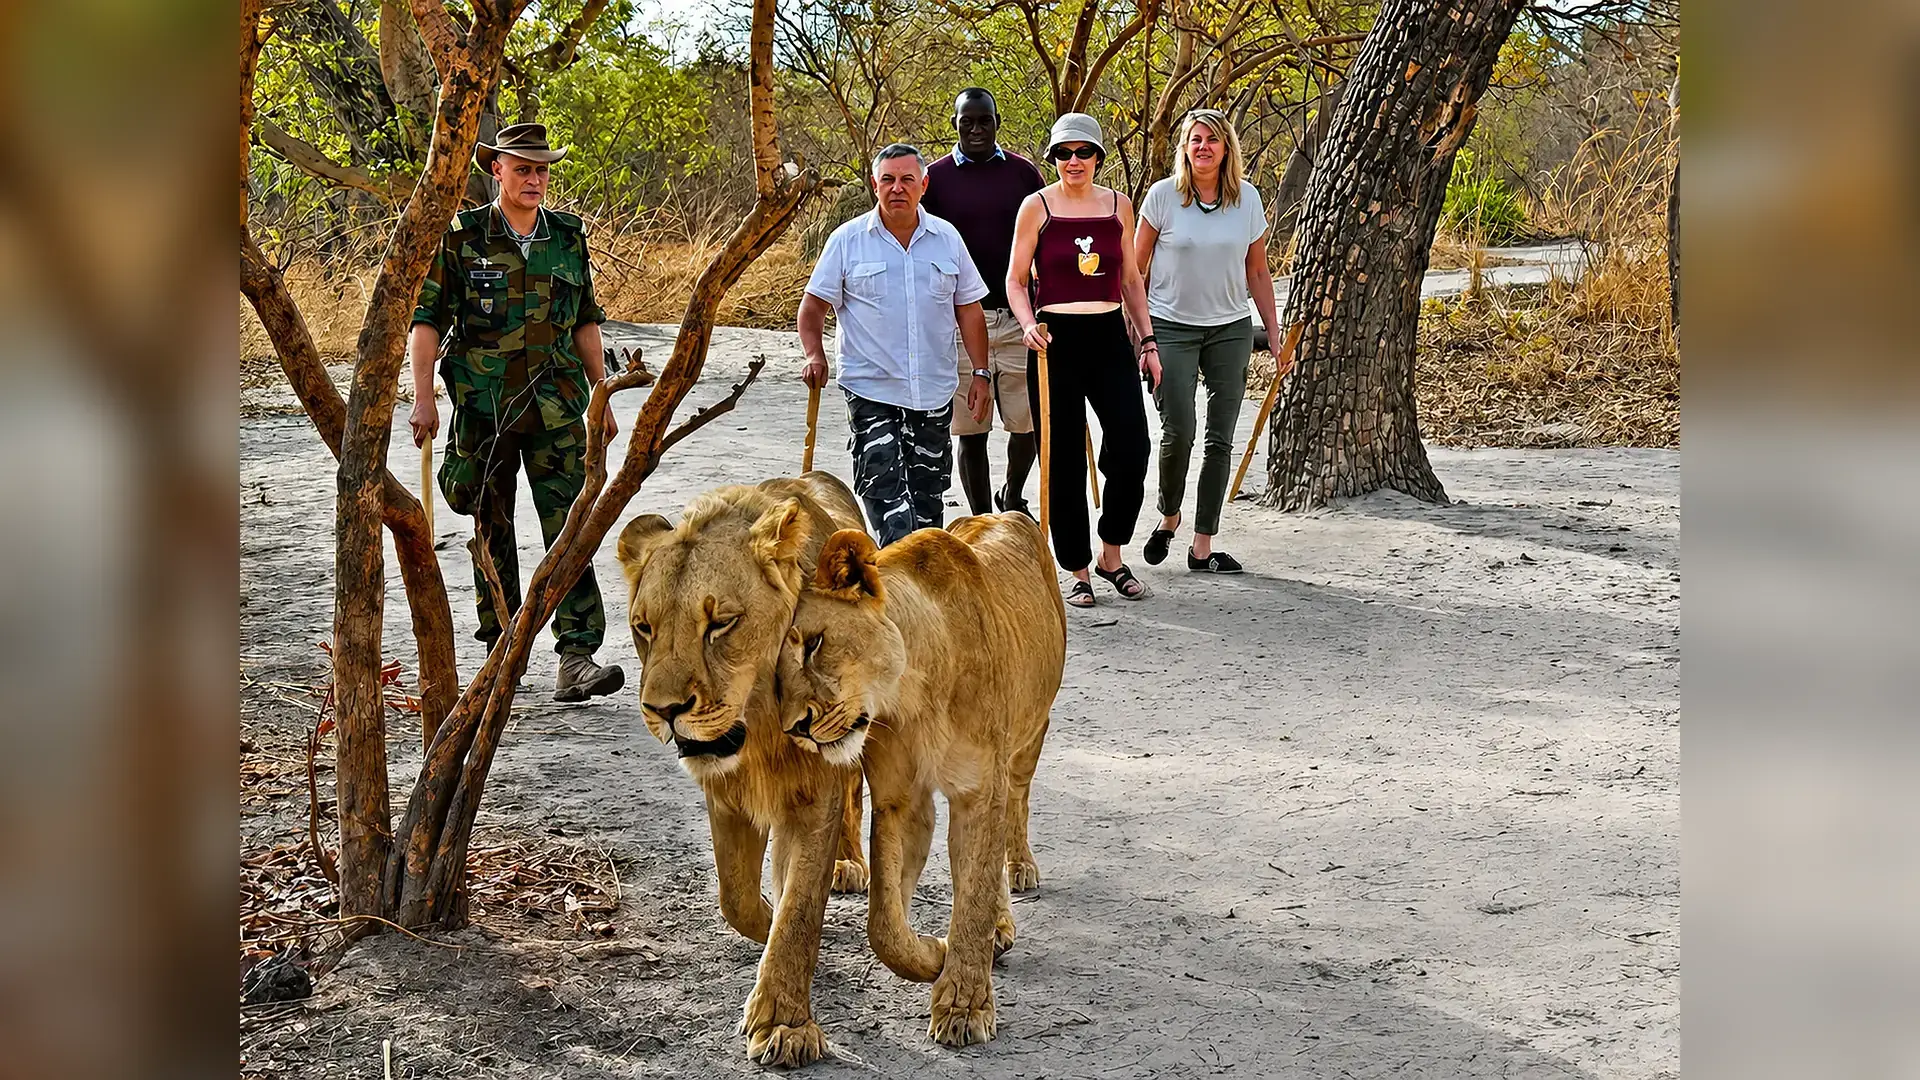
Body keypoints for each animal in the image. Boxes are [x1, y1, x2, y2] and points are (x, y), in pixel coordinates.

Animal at [614, 471, 870, 1068]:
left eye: (721, 624)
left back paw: (848, 862)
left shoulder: (815, 792)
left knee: (855, 792)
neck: (760, 727)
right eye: (643, 627)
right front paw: (765, 913)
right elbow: (734, 896)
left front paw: (785, 1023)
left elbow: (801, 907)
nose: (663, 710)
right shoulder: (724, 791)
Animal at [776, 512, 1066, 1048]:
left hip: (1030, 735)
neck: (910, 693)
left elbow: (972, 894)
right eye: (773, 677)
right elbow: (884, 924)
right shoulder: (901, 800)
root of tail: (1003, 513)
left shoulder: (980, 790)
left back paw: (1018, 869)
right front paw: (934, 954)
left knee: (1016, 806)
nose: (795, 728)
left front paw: (964, 1006)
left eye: (815, 643)